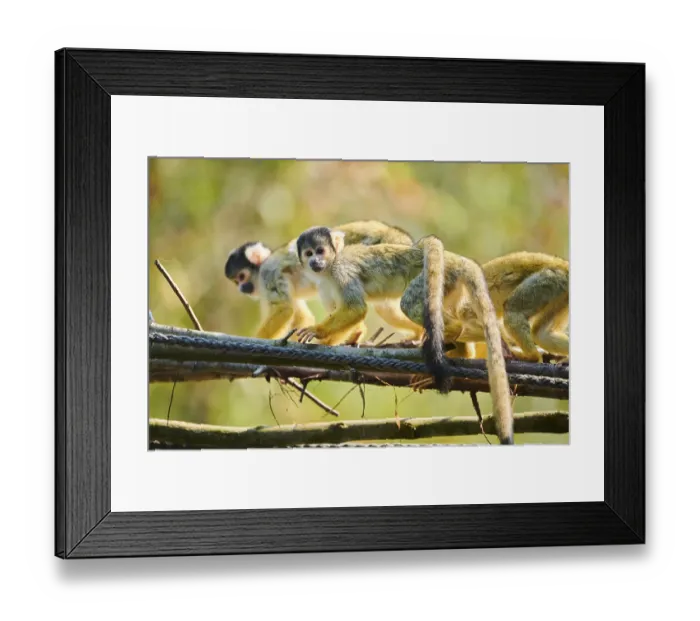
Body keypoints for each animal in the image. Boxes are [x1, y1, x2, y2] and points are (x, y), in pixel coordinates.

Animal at [224, 220, 417, 344]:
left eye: (241, 277)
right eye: (235, 281)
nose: (241, 288)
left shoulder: (268, 274)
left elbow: (284, 309)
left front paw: (257, 341)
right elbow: (299, 314)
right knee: (385, 308)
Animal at [294, 227, 514, 444]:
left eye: (320, 251)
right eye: (309, 253)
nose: (315, 262)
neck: (329, 268)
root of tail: (459, 260)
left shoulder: (342, 271)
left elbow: (356, 308)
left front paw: (317, 331)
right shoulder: (323, 285)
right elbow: (351, 317)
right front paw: (342, 340)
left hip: (437, 276)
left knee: (410, 303)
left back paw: (452, 333)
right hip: (451, 286)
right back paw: (460, 352)